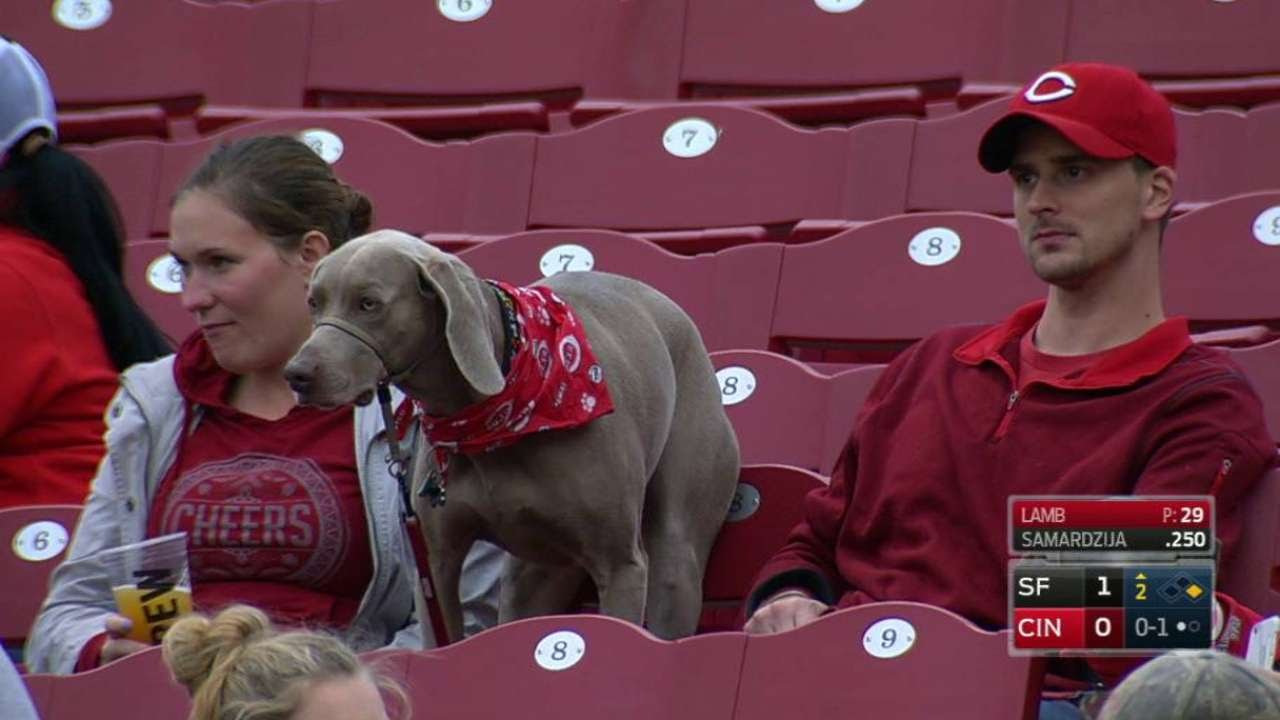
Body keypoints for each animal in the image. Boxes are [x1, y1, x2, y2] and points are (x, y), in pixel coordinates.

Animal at [284, 229, 737, 638]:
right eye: (313, 302)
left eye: (369, 303)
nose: (297, 375)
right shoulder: (435, 565)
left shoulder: (620, 564)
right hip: (533, 576)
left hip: (677, 544)